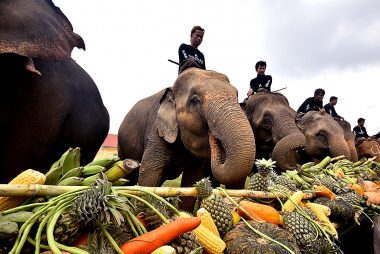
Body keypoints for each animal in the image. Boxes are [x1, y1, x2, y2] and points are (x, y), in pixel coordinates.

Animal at [118, 67, 255, 192]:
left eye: (237, 97)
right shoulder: (156, 131)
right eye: (195, 100)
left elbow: (192, 180)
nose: (214, 136)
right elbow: (149, 177)